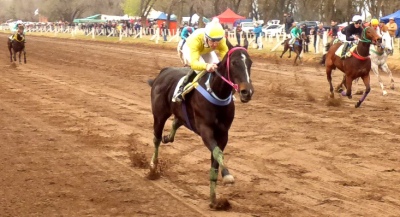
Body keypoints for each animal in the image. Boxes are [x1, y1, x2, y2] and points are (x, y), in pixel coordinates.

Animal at [147, 38, 253, 209]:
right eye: (234, 63)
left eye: (250, 62)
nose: (247, 92)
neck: (216, 93)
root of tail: (163, 72)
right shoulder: (205, 130)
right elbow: (218, 153)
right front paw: (227, 175)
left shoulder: (223, 134)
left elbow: (215, 159)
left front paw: (214, 200)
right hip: (159, 115)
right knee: (156, 139)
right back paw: (152, 168)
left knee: (177, 121)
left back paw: (168, 137)